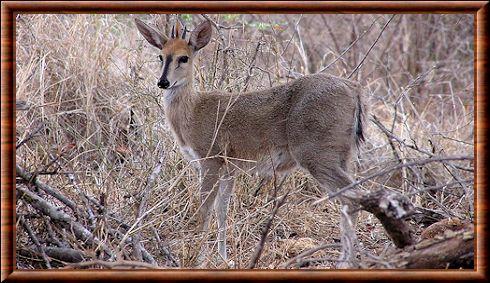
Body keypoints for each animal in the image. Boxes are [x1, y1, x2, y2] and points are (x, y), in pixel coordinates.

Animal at [136, 18, 366, 268]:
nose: (163, 82)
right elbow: (222, 210)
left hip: (315, 153)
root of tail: (354, 89)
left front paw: (198, 259)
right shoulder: (229, 168)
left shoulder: (210, 158)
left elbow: (205, 209)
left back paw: (345, 262)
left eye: (184, 57)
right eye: (161, 56)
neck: (192, 113)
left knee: (354, 197)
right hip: (342, 156)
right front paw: (224, 258)